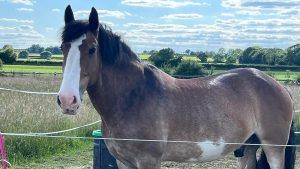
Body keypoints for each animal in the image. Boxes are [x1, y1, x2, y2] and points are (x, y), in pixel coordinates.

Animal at [57, 5, 296, 169]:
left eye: (92, 49)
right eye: (62, 47)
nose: (67, 100)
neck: (132, 98)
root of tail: (279, 87)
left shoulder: (148, 161)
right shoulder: (123, 162)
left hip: (273, 147)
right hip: (248, 148)